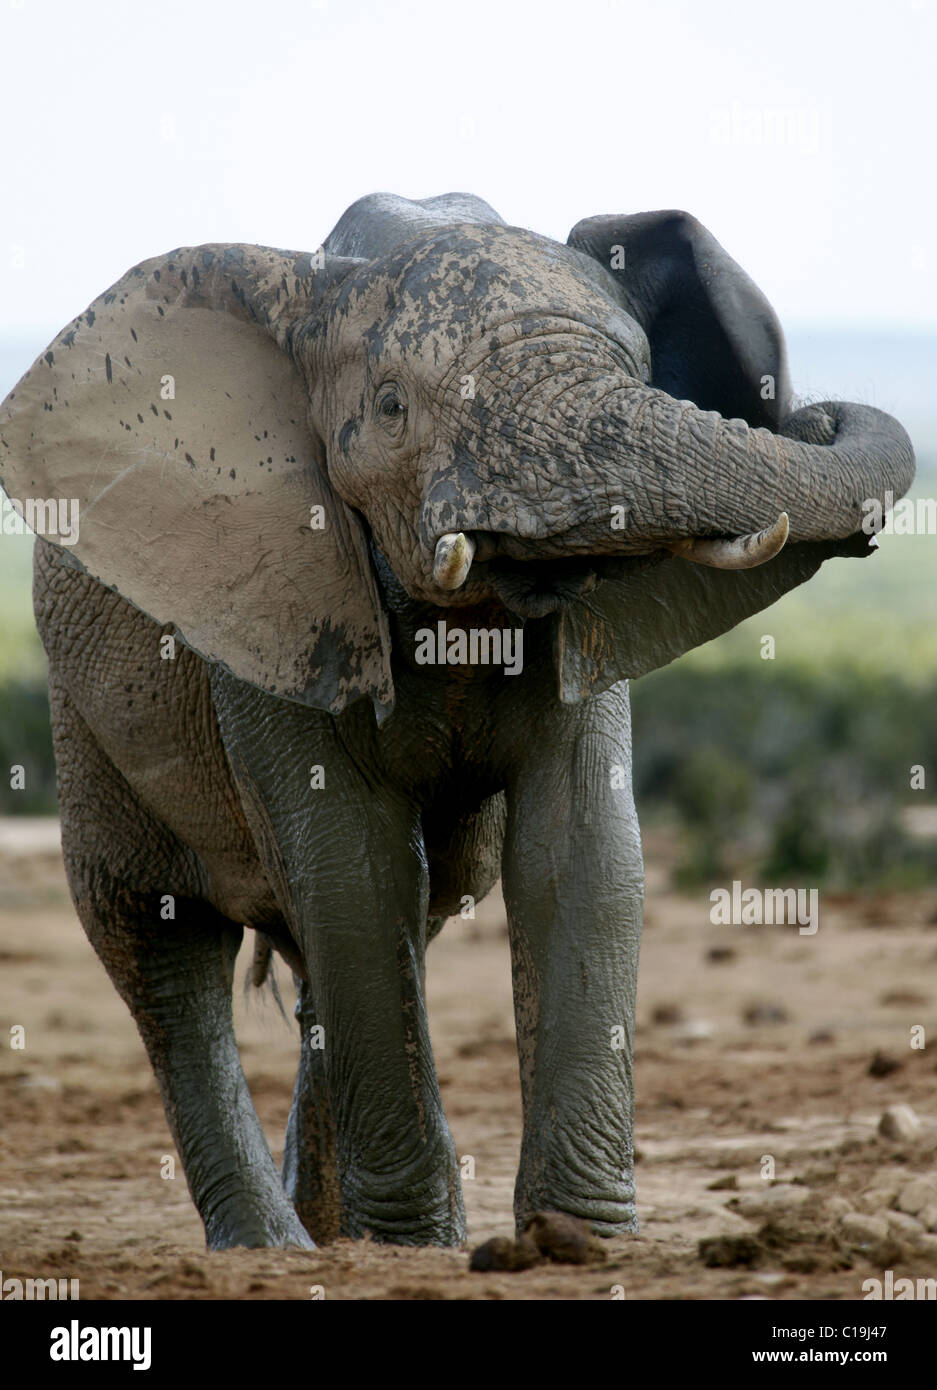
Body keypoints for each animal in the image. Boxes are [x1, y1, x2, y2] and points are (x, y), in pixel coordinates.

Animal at [0, 187, 906, 1251]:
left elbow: (581, 851)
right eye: (392, 407)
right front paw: (414, 1247)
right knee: (155, 937)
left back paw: (331, 1232)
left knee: (390, 917)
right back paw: (275, 1245)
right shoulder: (275, 594)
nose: (811, 413)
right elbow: (353, 866)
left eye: (639, 372)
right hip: (81, 710)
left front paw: (576, 1240)